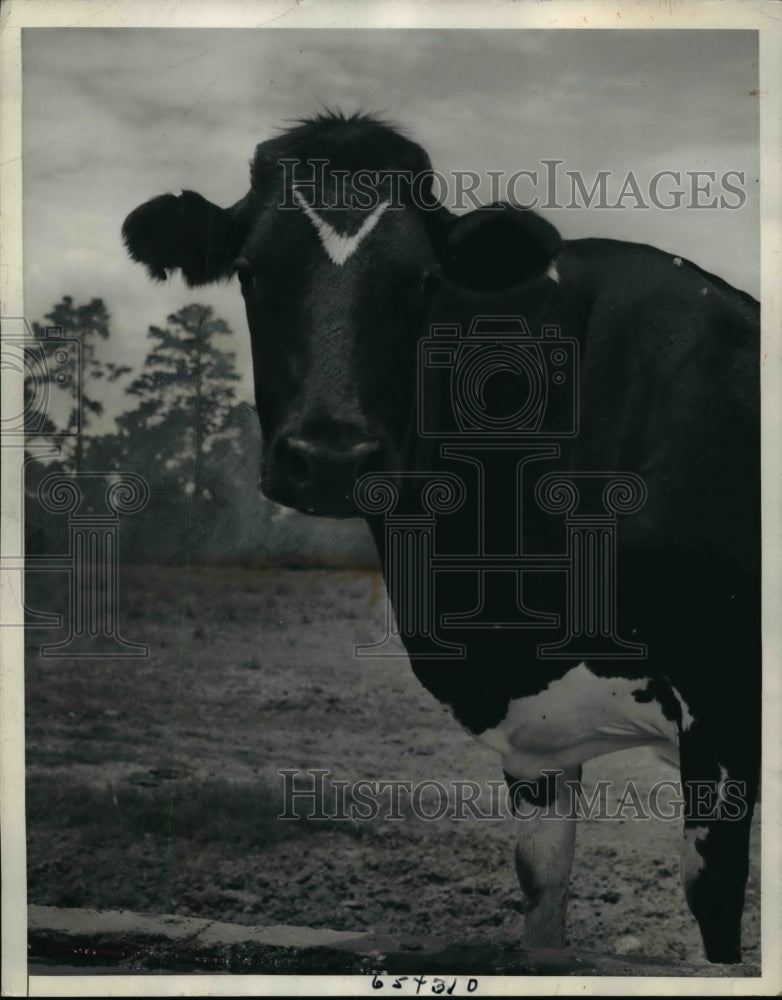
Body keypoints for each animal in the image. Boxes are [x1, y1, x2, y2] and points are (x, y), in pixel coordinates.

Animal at [122, 109, 760, 960]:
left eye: (423, 281)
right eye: (253, 273)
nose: (331, 457)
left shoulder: (724, 699)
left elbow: (713, 904)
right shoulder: (540, 736)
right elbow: (541, 898)